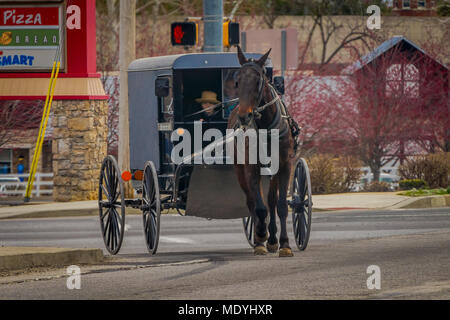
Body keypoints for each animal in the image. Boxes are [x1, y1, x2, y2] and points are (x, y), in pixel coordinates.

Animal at [227, 46, 298, 258]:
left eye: (258, 81)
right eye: (238, 81)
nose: (244, 116)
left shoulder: (285, 164)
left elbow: (280, 205)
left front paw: (284, 244)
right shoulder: (251, 166)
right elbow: (259, 207)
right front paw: (260, 234)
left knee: (272, 201)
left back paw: (273, 239)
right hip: (240, 169)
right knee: (252, 201)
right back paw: (261, 237)